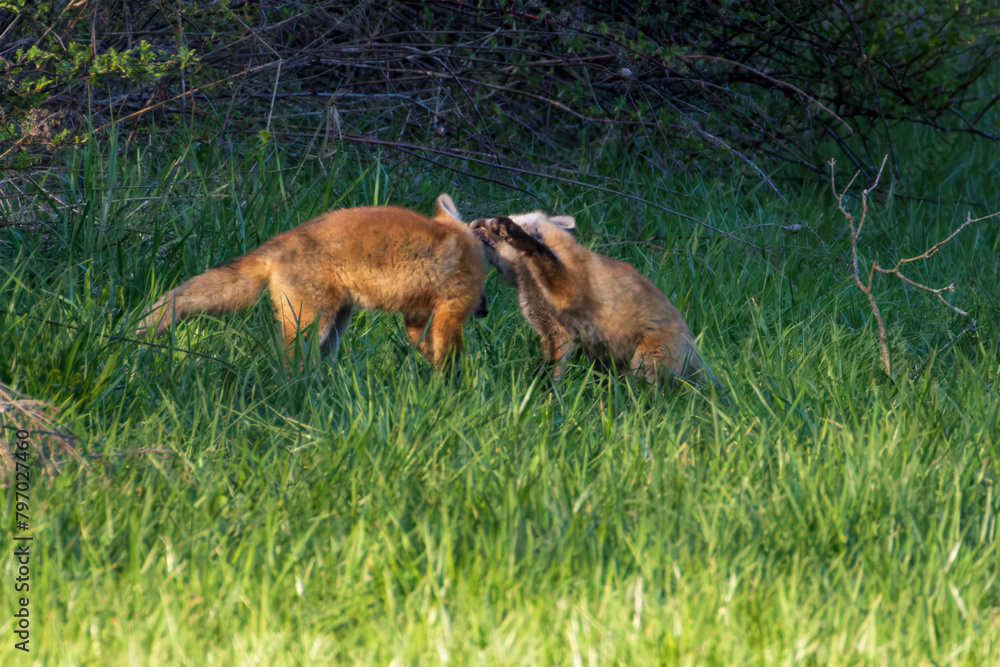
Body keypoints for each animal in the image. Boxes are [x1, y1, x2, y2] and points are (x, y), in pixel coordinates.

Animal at [138, 194, 488, 368]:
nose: (484, 310)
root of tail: (280, 241)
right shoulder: (451, 312)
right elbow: (450, 358)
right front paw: (452, 389)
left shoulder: (416, 313)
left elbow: (425, 345)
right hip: (310, 324)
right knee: (286, 361)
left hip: (334, 326)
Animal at [469, 211, 713, 387]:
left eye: (489, 222)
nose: (471, 224)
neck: (531, 281)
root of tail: (695, 350)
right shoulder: (556, 333)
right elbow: (548, 372)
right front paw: (539, 395)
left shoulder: (569, 287)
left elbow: (539, 251)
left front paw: (515, 233)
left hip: (644, 363)